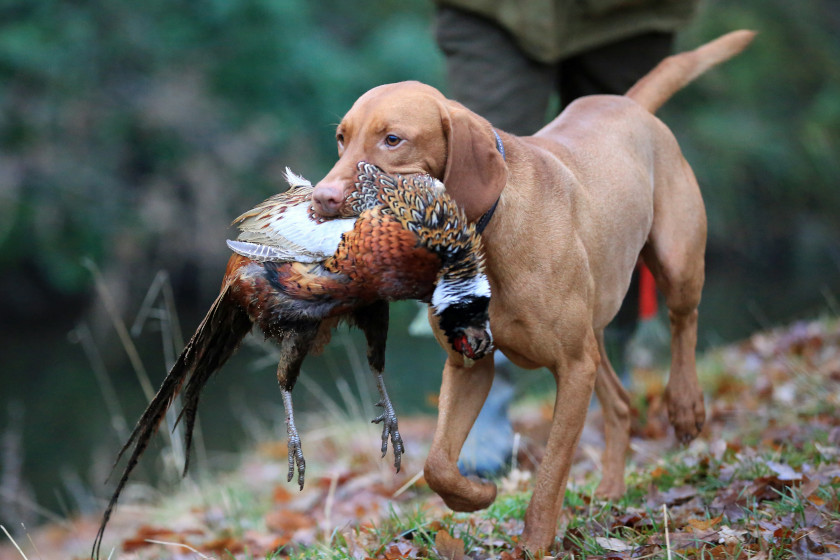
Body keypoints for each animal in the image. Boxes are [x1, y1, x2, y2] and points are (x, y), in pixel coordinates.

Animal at [314, 29, 756, 552]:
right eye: (341, 138)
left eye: (393, 139)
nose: (321, 197)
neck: (484, 241)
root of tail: (628, 103)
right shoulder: (470, 364)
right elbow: (438, 465)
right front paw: (478, 496)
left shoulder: (573, 367)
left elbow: (551, 472)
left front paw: (535, 542)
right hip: (594, 333)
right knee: (620, 402)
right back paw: (611, 489)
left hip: (676, 261)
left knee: (683, 321)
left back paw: (685, 405)